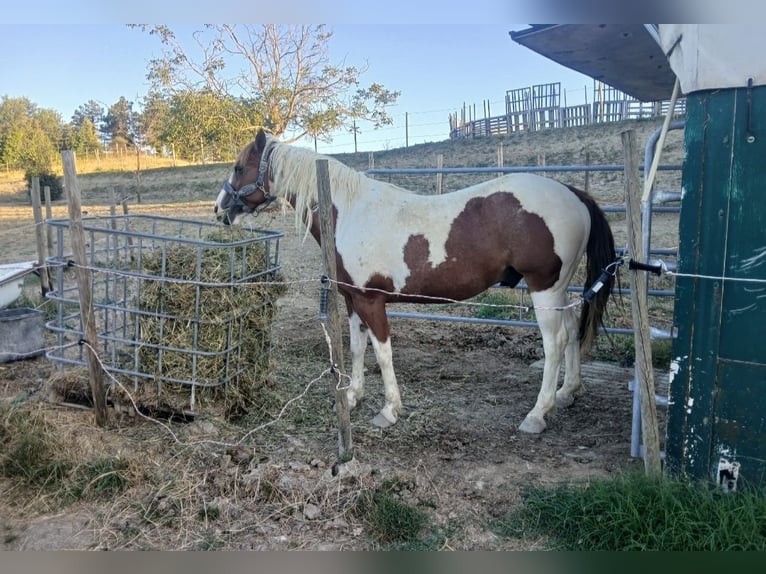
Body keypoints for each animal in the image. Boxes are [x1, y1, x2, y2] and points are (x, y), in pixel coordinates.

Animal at [214, 129, 616, 433]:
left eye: (239, 167)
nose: (219, 210)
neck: (349, 212)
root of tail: (573, 194)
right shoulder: (353, 300)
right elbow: (357, 348)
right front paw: (352, 396)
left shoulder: (372, 300)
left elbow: (383, 353)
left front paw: (389, 410)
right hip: (558, 290)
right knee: (572, 329)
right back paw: (567, 393)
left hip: (543, 287)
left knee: (555, 342)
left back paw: (537, 413)